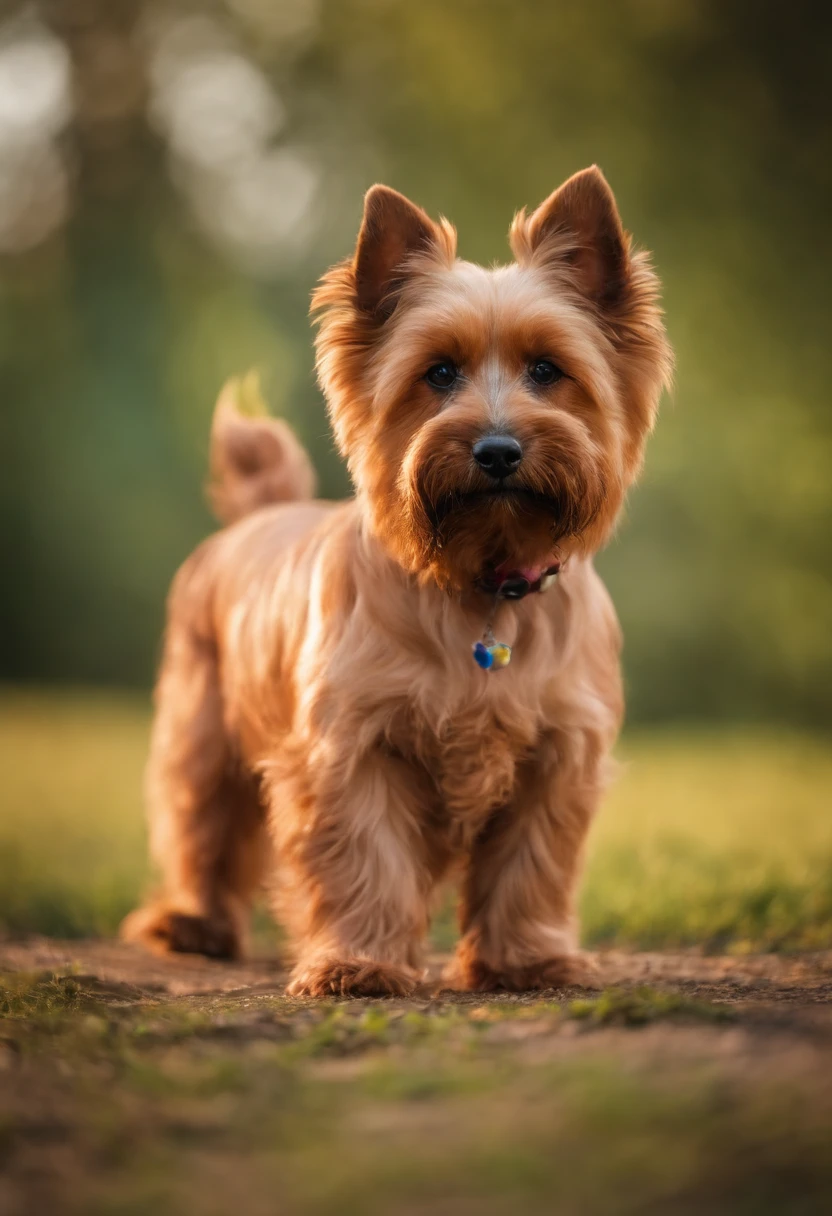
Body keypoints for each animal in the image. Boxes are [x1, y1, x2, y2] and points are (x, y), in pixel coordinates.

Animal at [121, 164, 671, 997]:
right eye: (437, 373)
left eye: (548, 370)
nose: (498, 449)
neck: (482, 583)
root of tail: (264, 510)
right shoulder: (353, 749)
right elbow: (366, 860)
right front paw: (359, 963)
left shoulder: (556, 757)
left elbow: (531, 866)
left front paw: (526, 960)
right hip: (201, 730)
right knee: (201, 824)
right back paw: (195, 924)